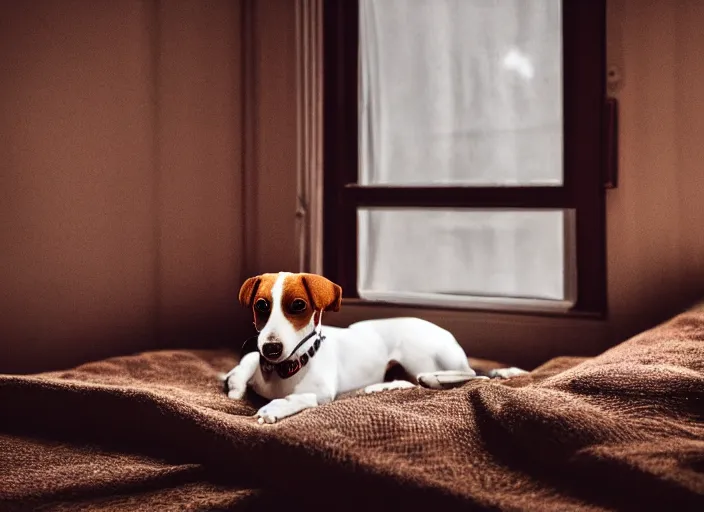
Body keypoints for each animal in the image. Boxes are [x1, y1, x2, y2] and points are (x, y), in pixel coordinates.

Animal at [223, 272, 524, 424]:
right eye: (261, 305)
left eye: (298, 305)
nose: (272, 348)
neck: (287, 367)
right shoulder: (258, 356)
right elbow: (248, 361)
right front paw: (234, 383)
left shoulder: (321, 394)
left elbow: (299, 397)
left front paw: (273, 409)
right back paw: (383, 386)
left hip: (417, 351)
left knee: (472, 374)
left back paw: (433, 378)